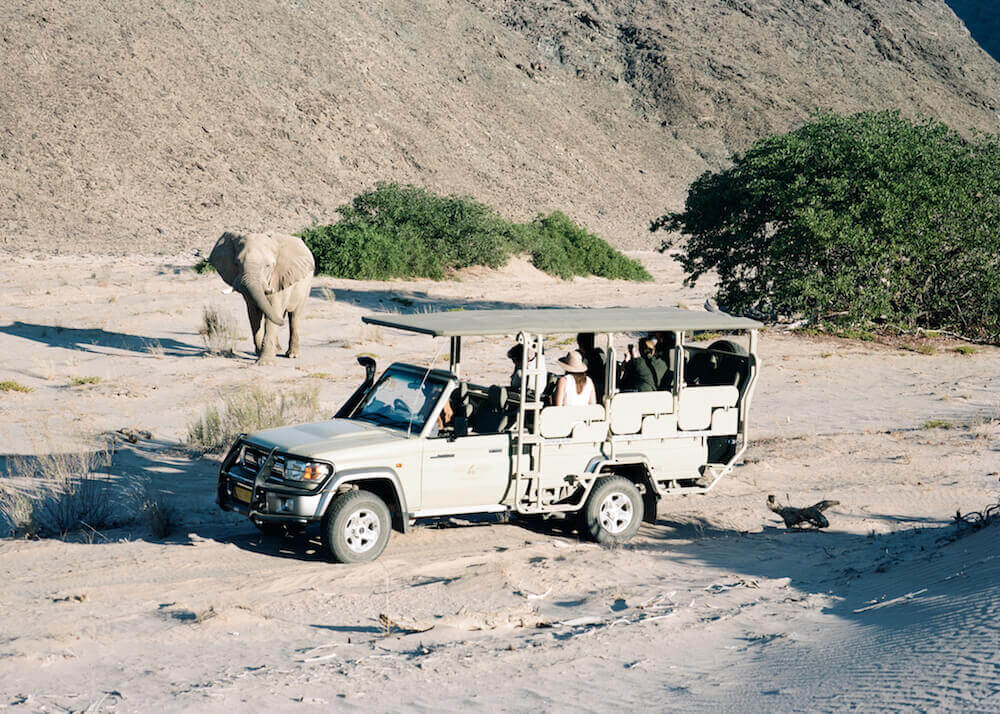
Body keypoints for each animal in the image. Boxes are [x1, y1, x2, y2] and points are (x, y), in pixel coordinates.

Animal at [204, 231, 310, 364]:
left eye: (268, 266)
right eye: (237, 264)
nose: (282, 322)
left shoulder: (278, 277)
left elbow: (273, 310)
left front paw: (265, 363)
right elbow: (254, 314)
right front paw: (260, 354)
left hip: (305, 286)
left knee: (294, 316)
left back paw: (292, 355)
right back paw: (277, 350)